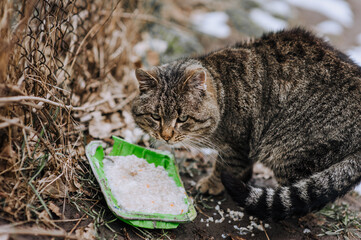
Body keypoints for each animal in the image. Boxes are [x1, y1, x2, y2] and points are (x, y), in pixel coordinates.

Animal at [131, 27, 360, 219]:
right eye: (156, 117)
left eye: (182, 118)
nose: (166, 135)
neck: (223, 93)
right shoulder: (248, 144)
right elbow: (244, 165)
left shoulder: (237, 144)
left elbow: (224, 166)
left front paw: (213, 184)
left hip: (289, 155)